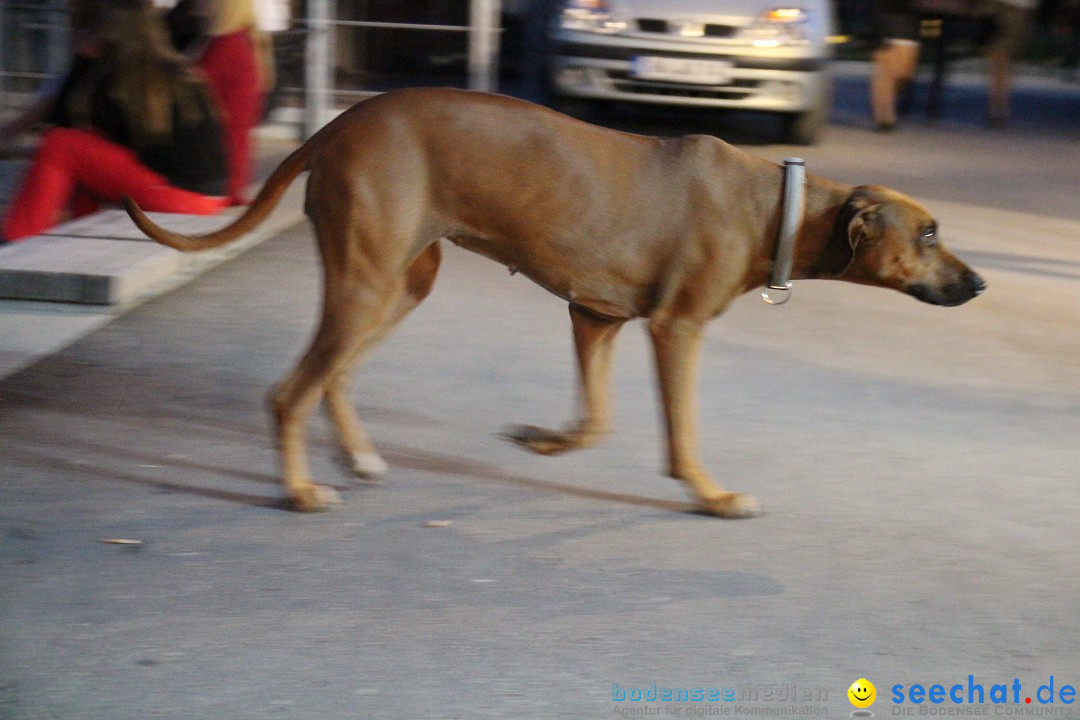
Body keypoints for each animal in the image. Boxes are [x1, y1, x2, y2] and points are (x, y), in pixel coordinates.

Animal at [122, 87, 984, 518]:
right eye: (930, 234)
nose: (979, 284)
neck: (782, 206)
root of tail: (336, 123)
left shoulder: (593, 316)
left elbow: (595, 421)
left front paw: (541, 440)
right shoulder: (675, 329)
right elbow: (682, 433)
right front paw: (711, 495)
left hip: (401, 281)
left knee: (334, 374)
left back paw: (358, 455)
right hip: (367, 278)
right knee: (289, 391)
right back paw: (300, 491)